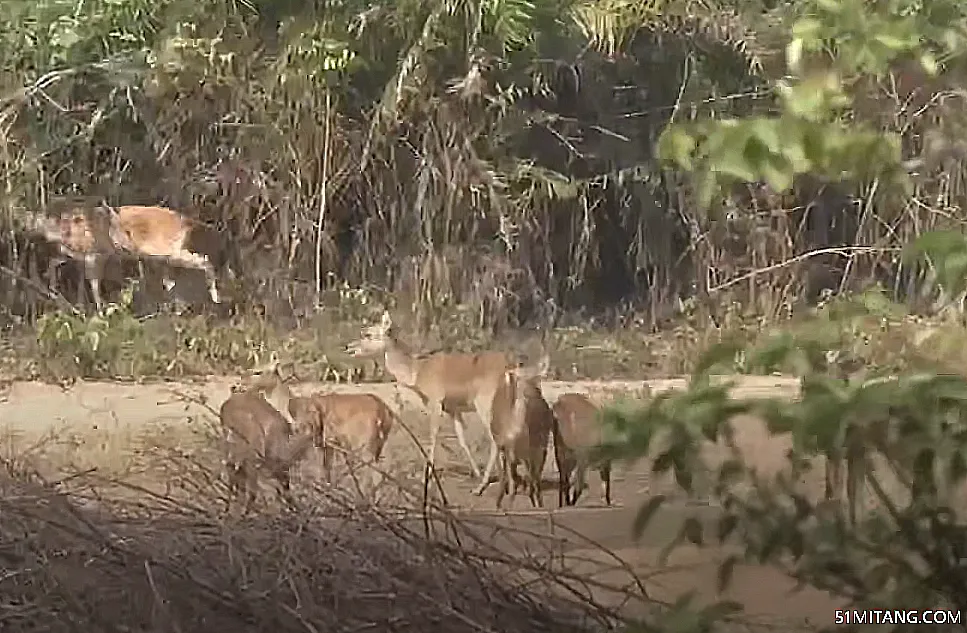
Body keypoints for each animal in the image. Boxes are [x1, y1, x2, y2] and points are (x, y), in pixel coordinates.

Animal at [23, 204, 238, 310]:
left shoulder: (167, 261)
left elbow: (171, 285)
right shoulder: (177, 256)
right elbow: (206, 269)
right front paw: (215, 297)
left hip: (84, 254)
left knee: (56, 262)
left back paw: (53, 288)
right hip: (92, 256)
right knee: (92, 284)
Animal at [346, 308, 520, 496]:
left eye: (368, 334)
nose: (349, 347)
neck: (417, 371)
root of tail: (509, 370)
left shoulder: (435, 403)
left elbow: (433, 437)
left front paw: (426, 478)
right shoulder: (452, 409)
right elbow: (462, 440)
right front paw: (476, 472)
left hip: (485, 405)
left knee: (496, 440)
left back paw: (481, 488)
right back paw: (508, 485)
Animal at [492, 356, 552, 508]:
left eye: (537, 379)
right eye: (518, 377)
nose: (531, 395)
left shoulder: (531, 453)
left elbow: (532, 481)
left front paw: (537, 504)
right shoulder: (508, 452)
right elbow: (513, 483)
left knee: (533, 479)